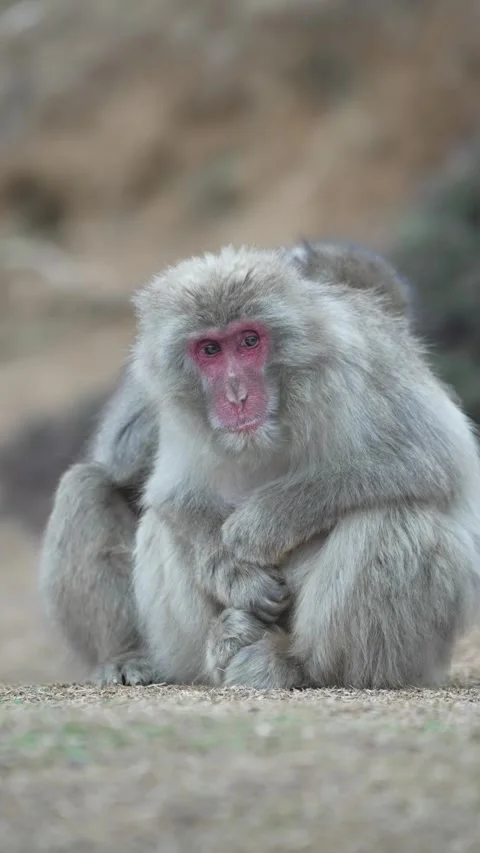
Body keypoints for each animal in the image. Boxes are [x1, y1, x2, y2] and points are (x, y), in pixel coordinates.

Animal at [39, 241, 478, 690]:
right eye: (210, 349)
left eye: (250, 341)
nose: (237, 395)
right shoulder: (171, 407)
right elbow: (171, 493)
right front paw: (237, 577)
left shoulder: (360, 360)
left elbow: (432, 458)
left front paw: (264, 524)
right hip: (178, 650)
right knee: (94, 489)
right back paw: (185, 647)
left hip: (417, 660)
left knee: (397, 518)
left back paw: (294, 664)